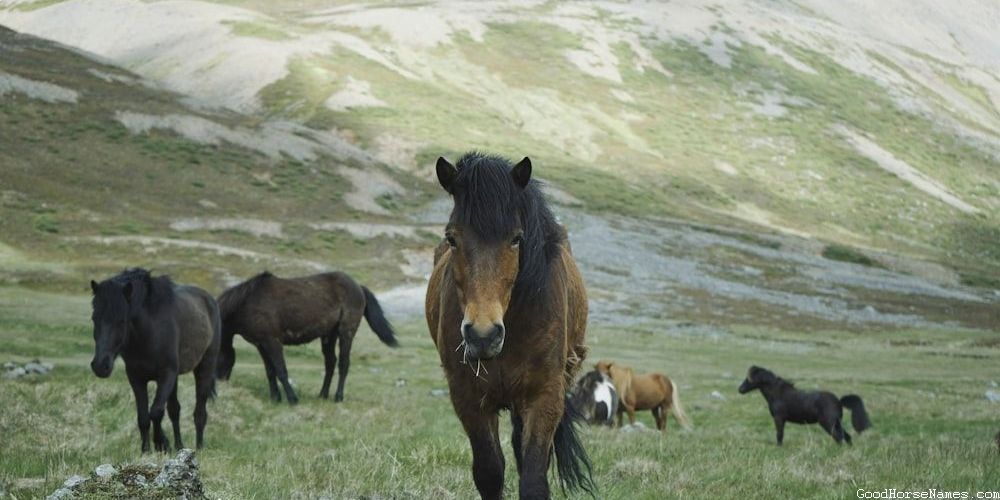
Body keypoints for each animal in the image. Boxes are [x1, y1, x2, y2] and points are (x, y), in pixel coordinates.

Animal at [89, 268, 220, 452]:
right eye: (94, 318)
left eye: (122, 320)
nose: (100, 366)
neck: (149, 333)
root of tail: (209, 300)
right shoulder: (136, 378)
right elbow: (143, 417)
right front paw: (146, 450)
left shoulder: (166, 375)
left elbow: (156, 412)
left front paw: (161, 443)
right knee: (174, 410)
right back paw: (179, 446)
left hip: (204, 368)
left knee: (200, 413)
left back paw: (199, 447)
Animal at [215, 271, 398, 404]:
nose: (219, 384)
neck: (248, 303)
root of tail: (358, 286)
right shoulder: (261, 344)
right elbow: (270, 371)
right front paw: (275, 398)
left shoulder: (272, 342)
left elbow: (281, 370)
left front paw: (292, 399)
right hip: (328, 335)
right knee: (330, 363)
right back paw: (322, 395)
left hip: (346, 332)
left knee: (343, 364)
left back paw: (338, 397)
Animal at [426, 153, 595, 499]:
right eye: (452, 238)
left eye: (516, 238)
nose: (483, 335)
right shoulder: (469, 399)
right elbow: (490, 471)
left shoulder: (544, 396)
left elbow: (533, 478)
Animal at [738, 365, 871, 445]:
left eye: (749, 379)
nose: (740, 389)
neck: (778, 394)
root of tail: (838, 401)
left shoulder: (779, 419)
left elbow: (779, 435)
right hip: (836, 423)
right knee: (846, 437)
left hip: (829, 424)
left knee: (839, 438)